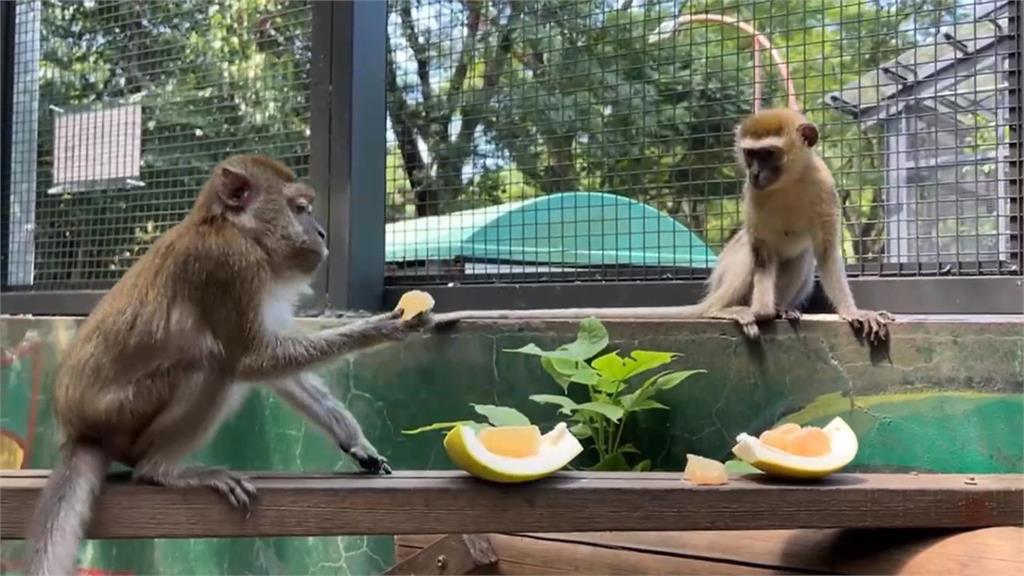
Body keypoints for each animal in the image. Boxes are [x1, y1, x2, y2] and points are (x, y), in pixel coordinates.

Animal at [29, 153, 440, 573]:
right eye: (301, 208)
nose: (323, 233)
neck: (236, 230)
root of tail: (81, 429)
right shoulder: (230, 266)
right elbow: (252, 358)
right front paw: (386, 327)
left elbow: (276, 367)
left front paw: (354, 438)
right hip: (122, 414)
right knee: (213, 364)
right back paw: (161, 472)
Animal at [436, 107, 892, 338]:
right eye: (750, 155)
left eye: (769, 154)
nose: (755, 175)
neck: (789, 183)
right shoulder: (754, 200)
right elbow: (761, 252)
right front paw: (760, 311)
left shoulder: (824, 188)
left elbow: (827, 253)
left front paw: (852, 312)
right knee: (751, 253)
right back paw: (731, 311)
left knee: (801, 259)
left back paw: (783, 309)